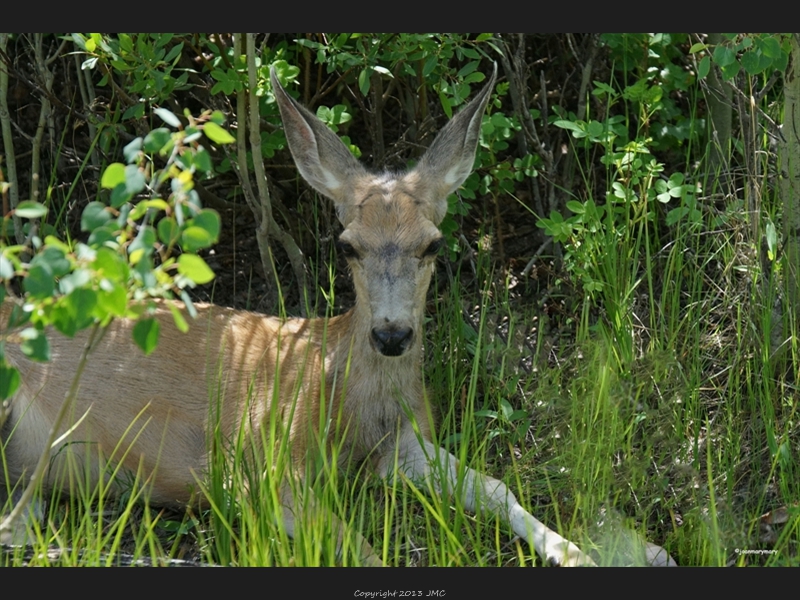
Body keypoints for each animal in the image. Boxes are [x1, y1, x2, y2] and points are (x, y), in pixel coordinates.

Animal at [0, 65, 592, 568]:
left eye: (432, 244)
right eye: (348, 245)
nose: (392, 335)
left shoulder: (408, 446)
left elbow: (498, 487)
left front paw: (583, 552)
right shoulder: (256, 463)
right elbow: (357, 547)